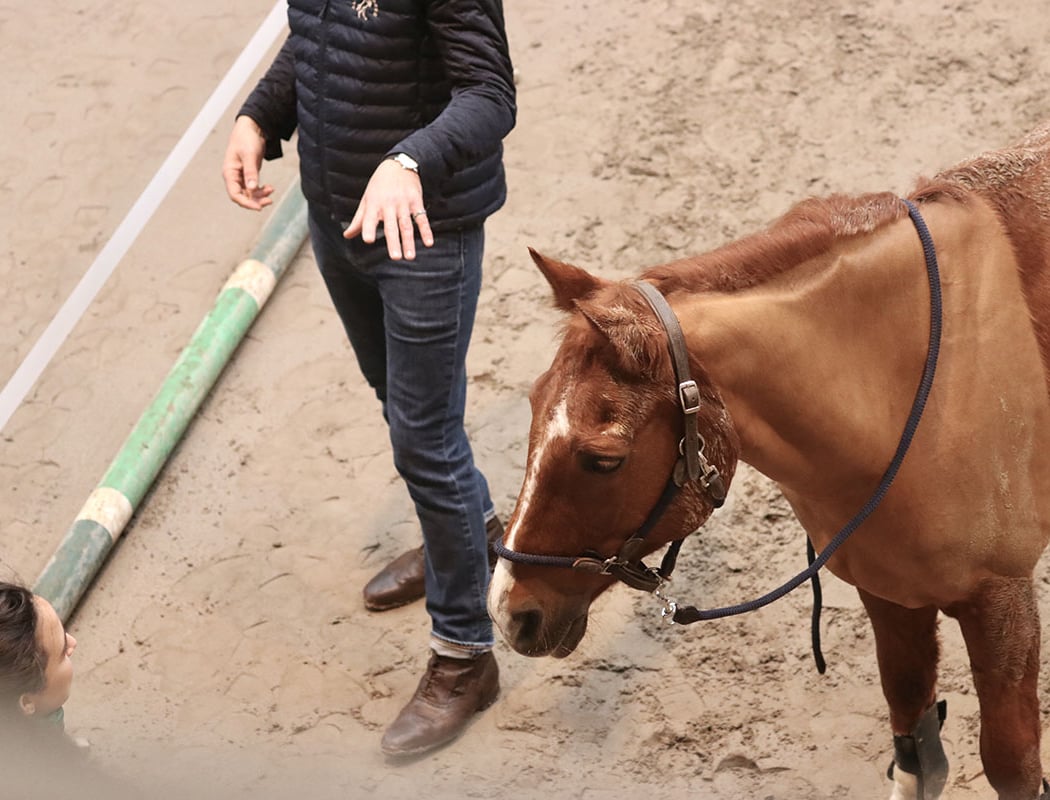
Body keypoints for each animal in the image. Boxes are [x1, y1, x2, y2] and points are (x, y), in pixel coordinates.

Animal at [488, 121, 1050, 800]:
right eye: (532, 404)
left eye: (603, 461)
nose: (508, 613)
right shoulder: (889, 593)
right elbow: (914, 738)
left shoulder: (1001, 602)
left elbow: (1012, 764)